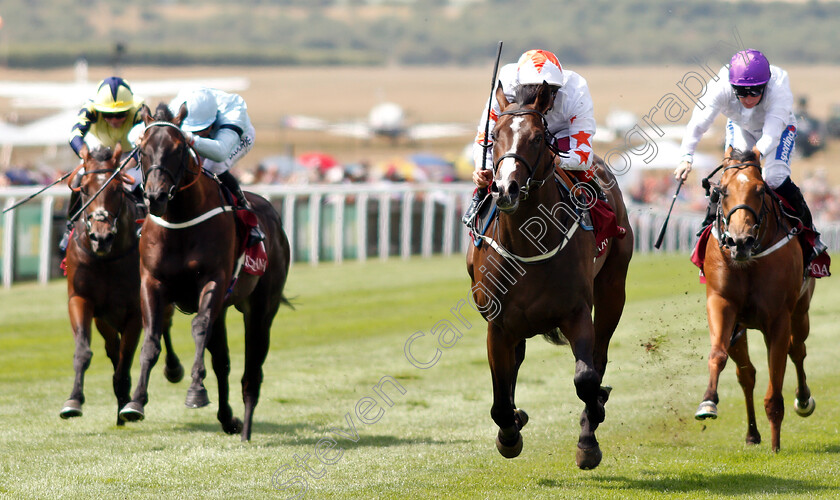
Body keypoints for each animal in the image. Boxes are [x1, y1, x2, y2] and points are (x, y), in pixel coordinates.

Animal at [61, 144, 183, 426]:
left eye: (117, 188)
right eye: (84, 188)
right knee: (112, 347)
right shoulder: (82, 300)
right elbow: (84, 352)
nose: (101, 237)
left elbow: (125, 362)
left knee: (164, 326)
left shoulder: (135, 310)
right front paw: (73, 401)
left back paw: (172, 369)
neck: (108, 258)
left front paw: (128, 405)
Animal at [116, 103, 290, 440]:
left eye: (178, 148)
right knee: (222, 360)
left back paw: (245, 428)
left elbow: (198, 329)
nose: (155, 197)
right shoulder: (152, 283)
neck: (180, 220)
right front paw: (135, 403)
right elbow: (151, 340)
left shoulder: (213, 281)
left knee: (252, 369)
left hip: (261, 307)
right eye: (142, 150)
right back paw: (228, 418)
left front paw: (196, 391)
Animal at [466, 82, 632, 468]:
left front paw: (590, 433)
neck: (529, 246)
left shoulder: (576, 312)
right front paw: (509, 433)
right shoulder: (499, 325)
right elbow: (499, 398)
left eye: (539, 137)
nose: (505, 188)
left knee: (599, 356)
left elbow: (586, 378)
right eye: (494, 135)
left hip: (613, 287)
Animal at [700, 148, 816, 454]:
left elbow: (775, 384)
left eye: (760, 190)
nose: (740, 241)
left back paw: (803, 400)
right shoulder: (721, 303)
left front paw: (776, 445)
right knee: (747, 374)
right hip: (740, 328)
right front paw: (708, 402)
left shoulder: (779, 319)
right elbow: (718, 355)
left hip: (801, 312)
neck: (749, 261)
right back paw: (752, 433)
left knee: (797, 350)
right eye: (722, 190)